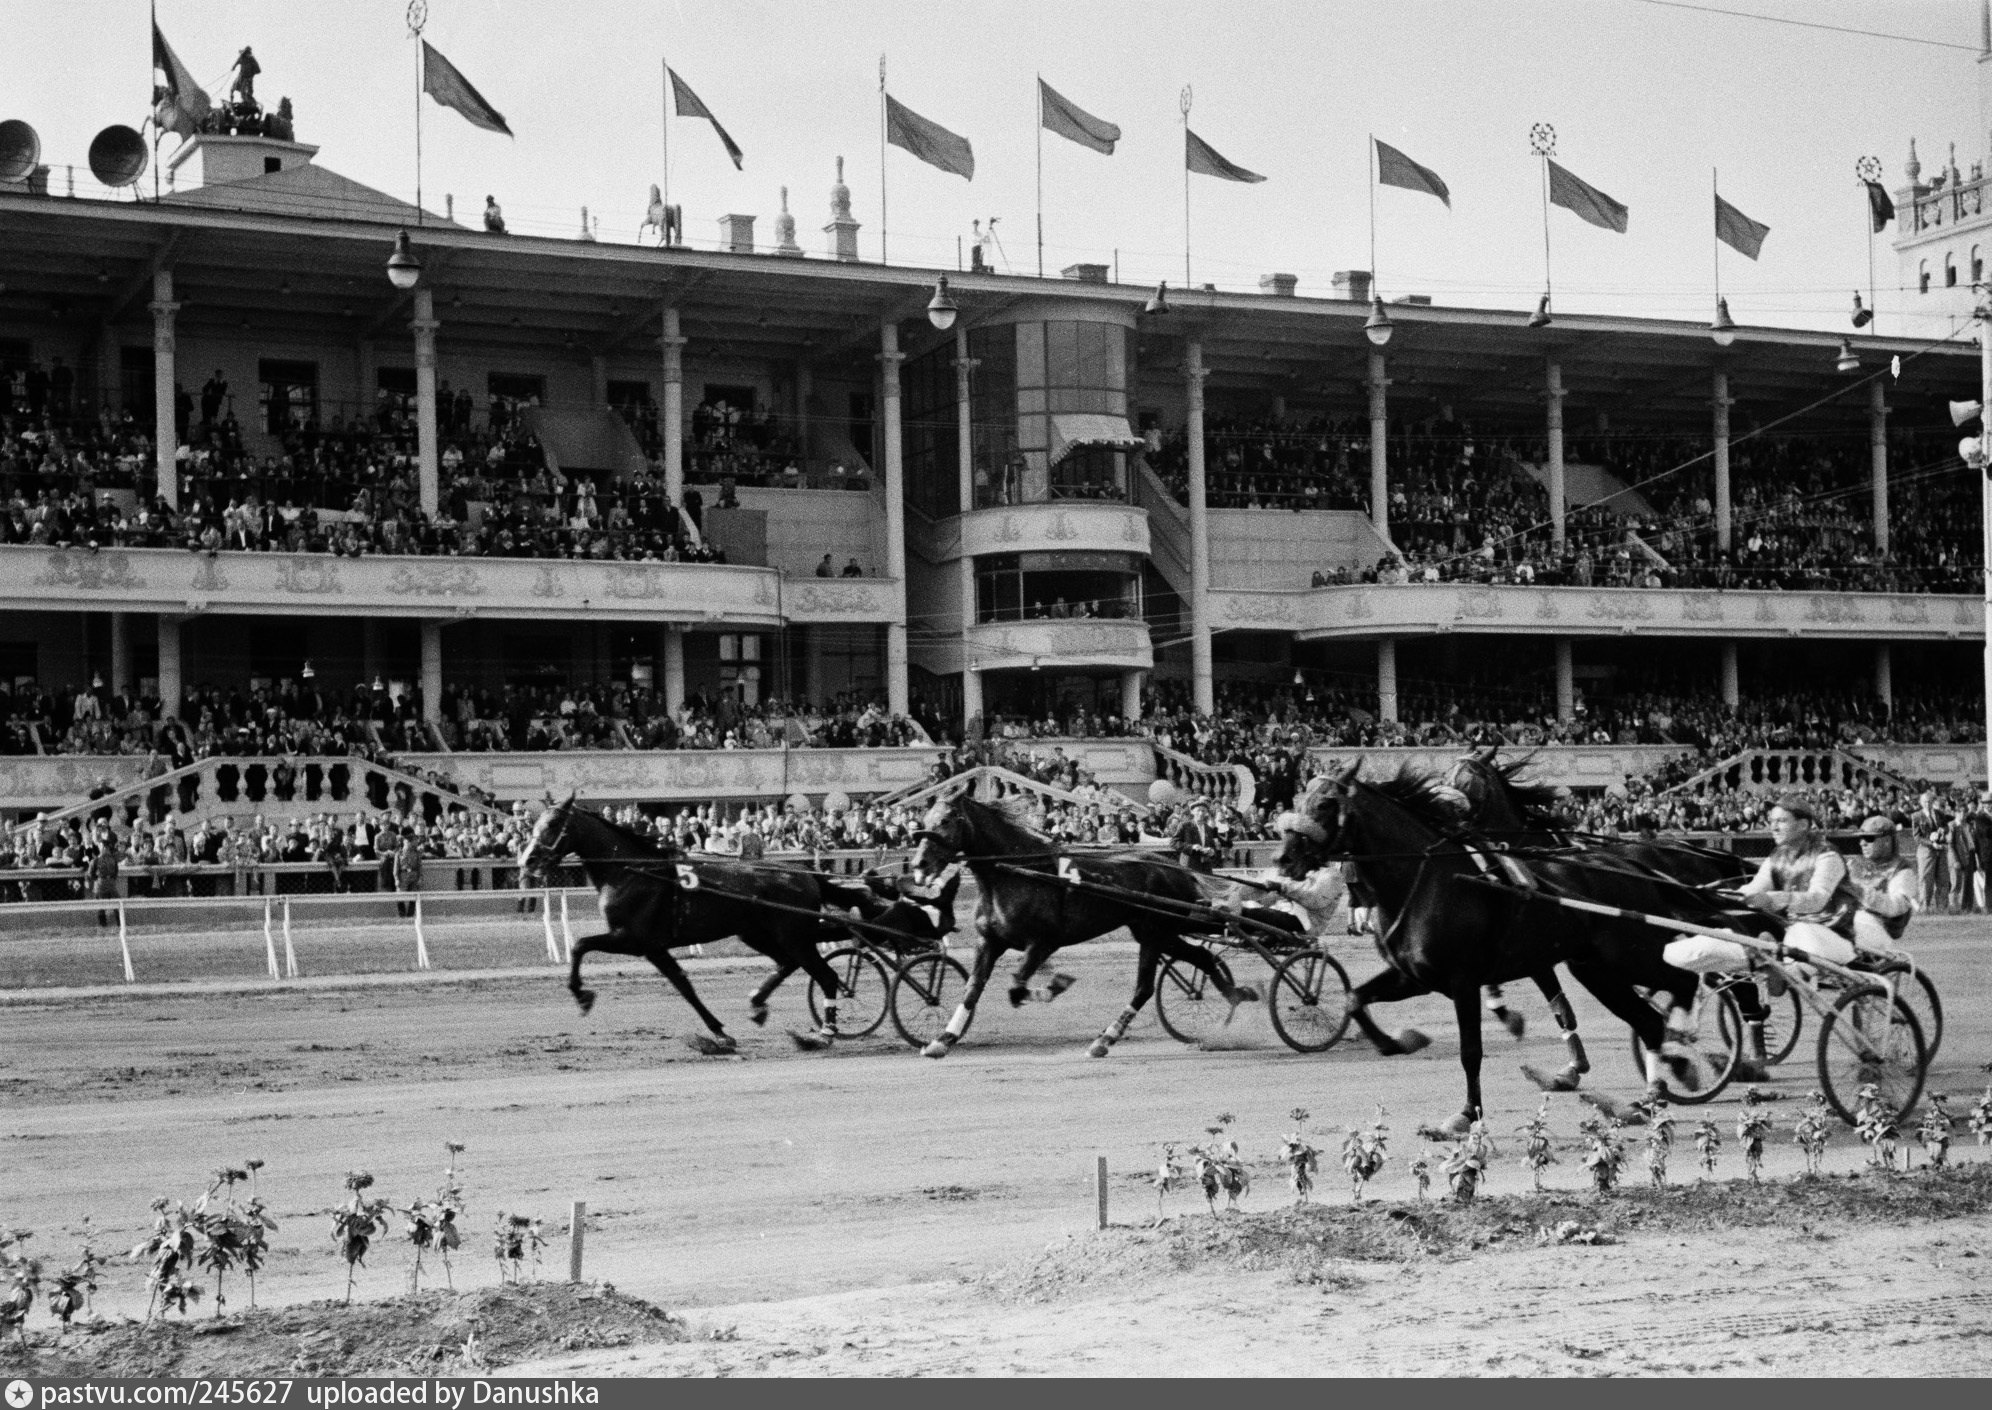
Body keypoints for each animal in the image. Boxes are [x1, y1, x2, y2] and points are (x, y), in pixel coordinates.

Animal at [521, 800, 856, 1051]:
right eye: (535, 823)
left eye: (553, 824)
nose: (528, 860)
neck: (632, 872)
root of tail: (808, 875)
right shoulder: (653, 947)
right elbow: (683, 985)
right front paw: (719, 1031)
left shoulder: (634, 940)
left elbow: (580, 945)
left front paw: (581, 995)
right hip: (758, 933)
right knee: (787, 963)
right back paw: (758, 1004)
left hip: (793, 935)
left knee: (825, 975)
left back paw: (825, 1033)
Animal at [908, 792, 1250, 1059]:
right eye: (924, 817)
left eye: (947, 819)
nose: (918, 864)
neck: (1017, 872)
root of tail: (1176, 868)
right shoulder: (989, 942)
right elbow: (973, 988)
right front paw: (942, 1040)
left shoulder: (1043, 942)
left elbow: (1016, 987)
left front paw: (1056, 984)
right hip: (1156, 931)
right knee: (1203, 957)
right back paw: (1237, 996)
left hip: (1156, 932)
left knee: (1145, 987)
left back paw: (1105, 1038)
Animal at [1282, 760, 1768, 1131]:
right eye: (1297, 801)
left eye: (1325, 804)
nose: (1284, 858)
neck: (1430, 880)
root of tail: (1633, 865)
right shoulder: (1416, 976)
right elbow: (1354, 999)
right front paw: (1401, 1041)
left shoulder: (1463, 979)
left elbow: (1472, 1050)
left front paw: (1467, 1113)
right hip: (1596, 969)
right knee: (1649, 1018)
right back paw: (1654, 1093)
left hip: (1629, 954)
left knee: (1685, 981)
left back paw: (1703, 1046)